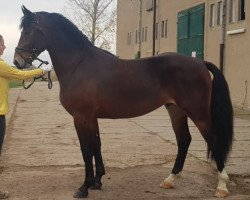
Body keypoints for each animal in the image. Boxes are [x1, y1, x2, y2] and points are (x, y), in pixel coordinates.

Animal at [13, 6, 232, 198]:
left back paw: (222, 186)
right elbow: (96, 145)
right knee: (184, 140)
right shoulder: (91, 117)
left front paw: (84, 187)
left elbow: (86, 149)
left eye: (28, 31)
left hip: (198, 113)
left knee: (213, 140)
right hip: (176, 110)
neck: (79, 64)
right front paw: (97, 182)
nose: (17, 61)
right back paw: (170, 179)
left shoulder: (81, 117)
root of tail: (200, 62)